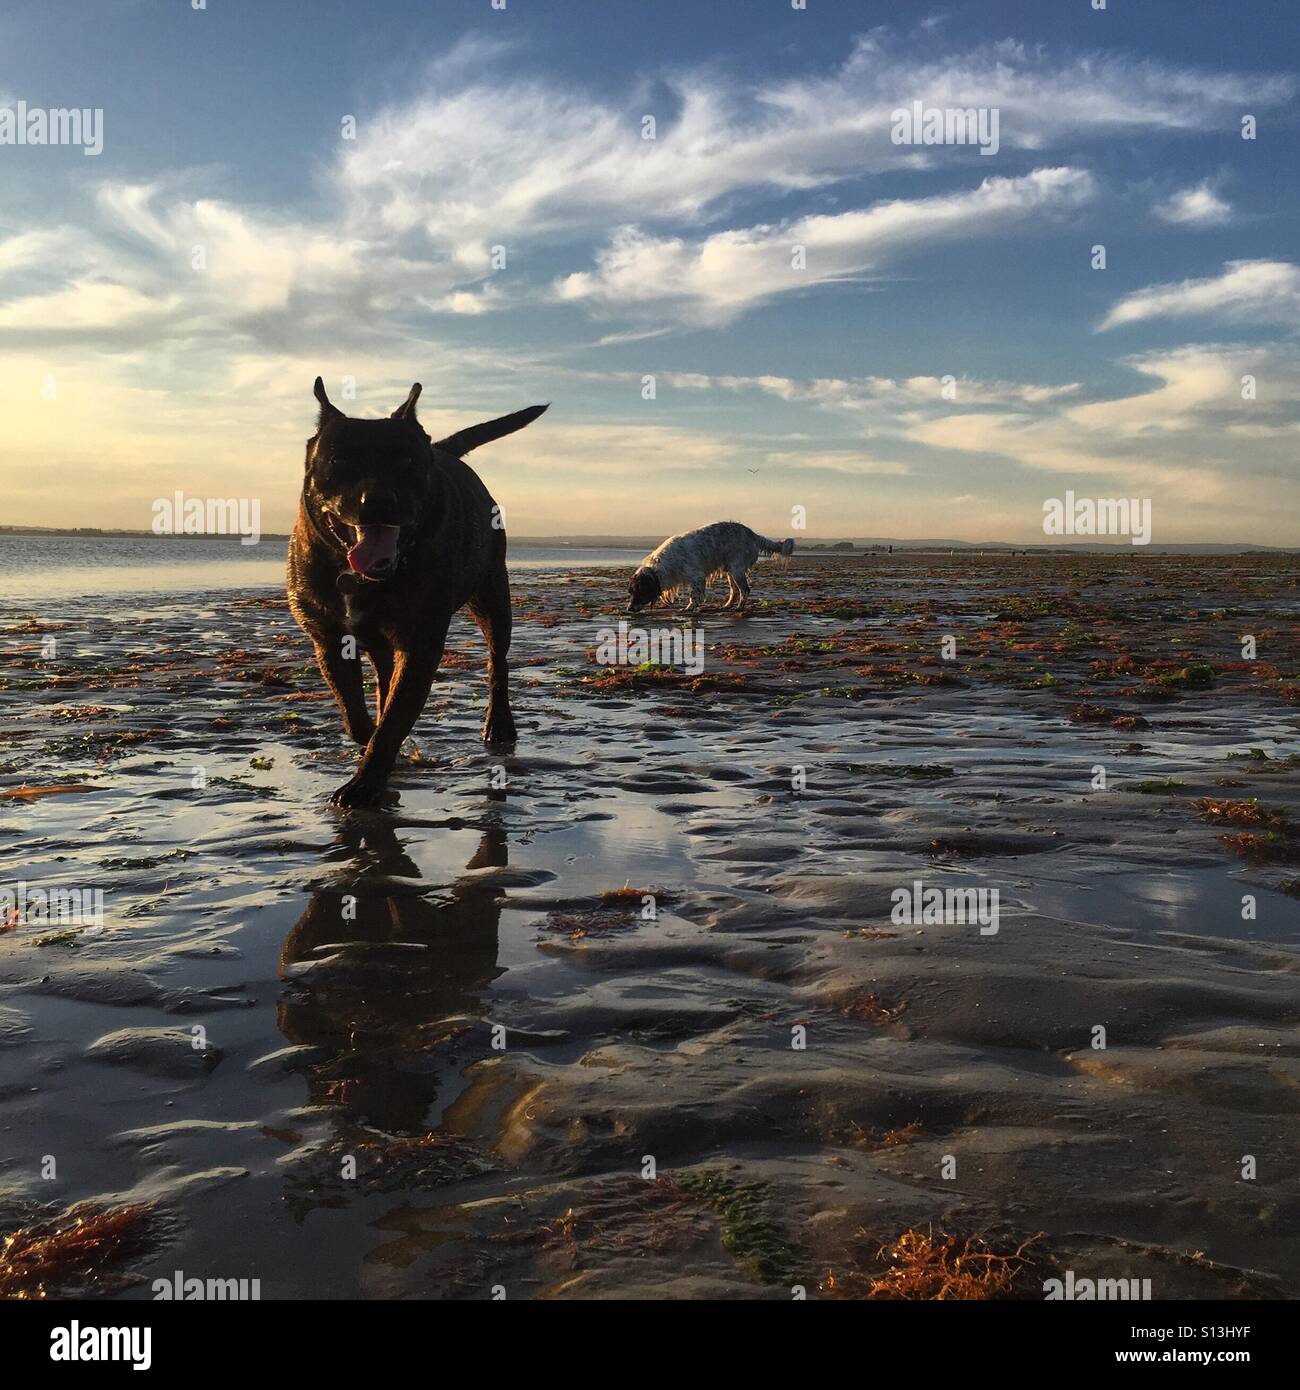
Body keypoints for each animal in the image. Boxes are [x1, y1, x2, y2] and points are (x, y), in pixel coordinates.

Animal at [287, 375, 547, 811]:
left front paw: (364, 783)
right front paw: (371, 742)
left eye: (407, 462)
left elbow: (393, 720)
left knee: (498, 663)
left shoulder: (421, 643)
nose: (377, 500)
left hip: (492, 598)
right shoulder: (329, 640)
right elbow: (355, 713)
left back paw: (498, 723)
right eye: (338, 460)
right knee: (382, 677)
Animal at [628, 519, 800, 611]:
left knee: (744, 590)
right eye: (631, 592)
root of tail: (752, 534)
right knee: (734, 591)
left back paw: (739, 607)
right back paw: (727, 606)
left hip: (736, 569)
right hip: (730, 571)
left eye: (638, 591)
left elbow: (694, 595)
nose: (629, 609)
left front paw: (690, 608)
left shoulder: (697, 576)